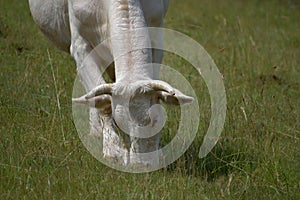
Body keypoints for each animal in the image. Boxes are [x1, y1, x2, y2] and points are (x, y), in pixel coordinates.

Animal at [29, 0, 193, 167]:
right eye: (119, 124)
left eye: (155, 120)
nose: (142, 166)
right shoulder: (80, 45)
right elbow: (102, 99)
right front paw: (113, 150)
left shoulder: (156, 34)